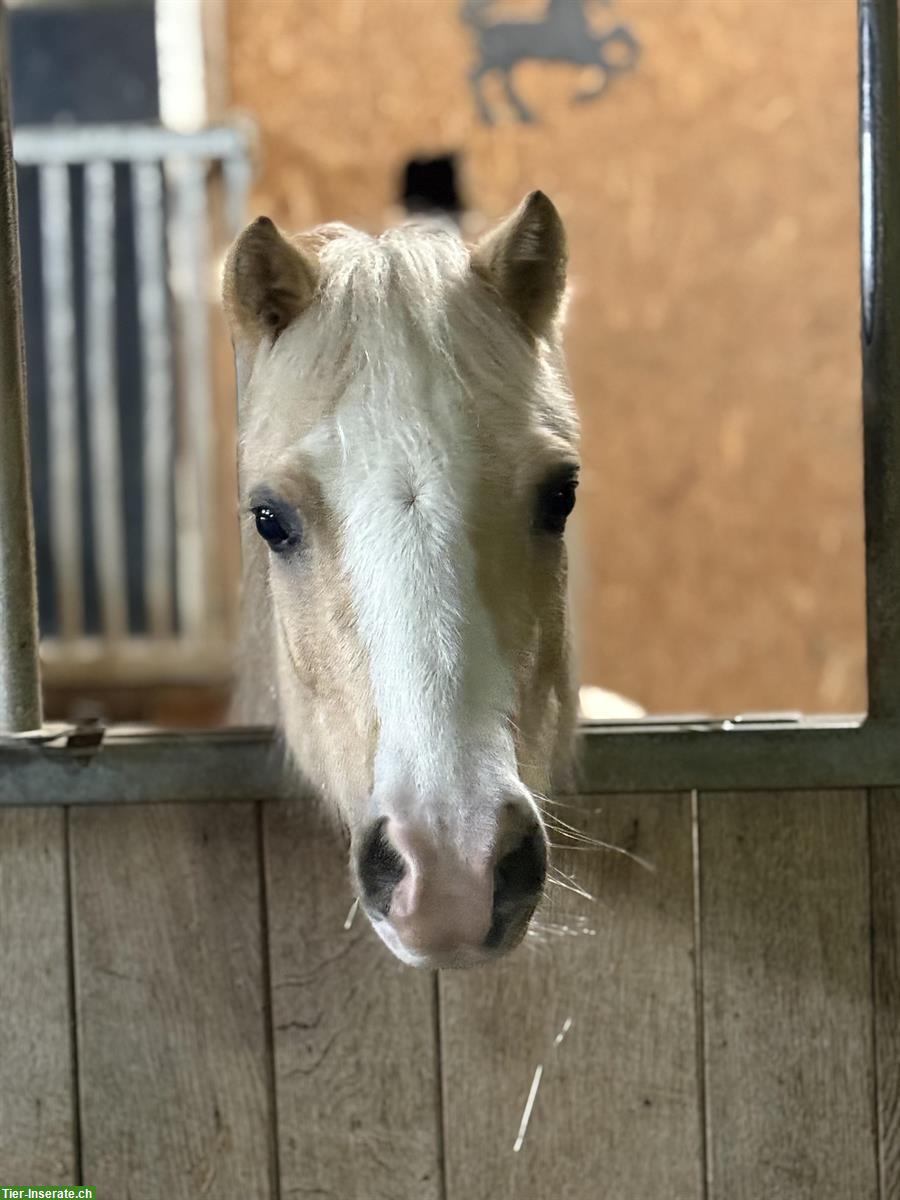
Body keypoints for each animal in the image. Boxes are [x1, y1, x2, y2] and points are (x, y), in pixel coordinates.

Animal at [462, 0, 640, 125]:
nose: (610, 6)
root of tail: (480, 27)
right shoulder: (585, 52)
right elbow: (611, 55)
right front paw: (586, 91)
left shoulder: (590, 48)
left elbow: (622, 34)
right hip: (496, 60)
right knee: (475, 76)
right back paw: (492, 115)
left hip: (505, 62)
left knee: (502, 82)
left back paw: (521, 113)